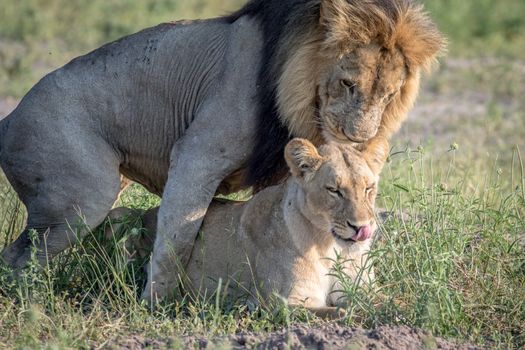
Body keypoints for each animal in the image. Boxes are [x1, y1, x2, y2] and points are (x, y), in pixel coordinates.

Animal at [112, 137, 386, 314]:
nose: (361, 227)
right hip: (121, 215)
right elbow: (345, 313)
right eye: (334, 190)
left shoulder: (365, 289)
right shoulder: (286, 303)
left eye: (369, 188)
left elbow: (387, 301)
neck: (330, 246)